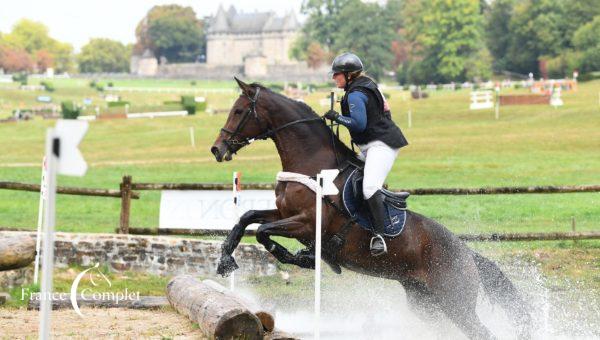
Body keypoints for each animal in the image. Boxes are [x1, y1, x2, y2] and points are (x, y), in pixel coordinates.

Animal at [210, 78, 528, 338]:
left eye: (238, 111)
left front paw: (301, 258)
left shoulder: (307, 223)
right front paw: (226, 260)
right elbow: (247, 218)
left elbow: (263, 231)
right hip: (425, 303)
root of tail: (467, 253)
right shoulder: (286, 214)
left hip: (456, 302)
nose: (217, 149)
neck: (310, 162)